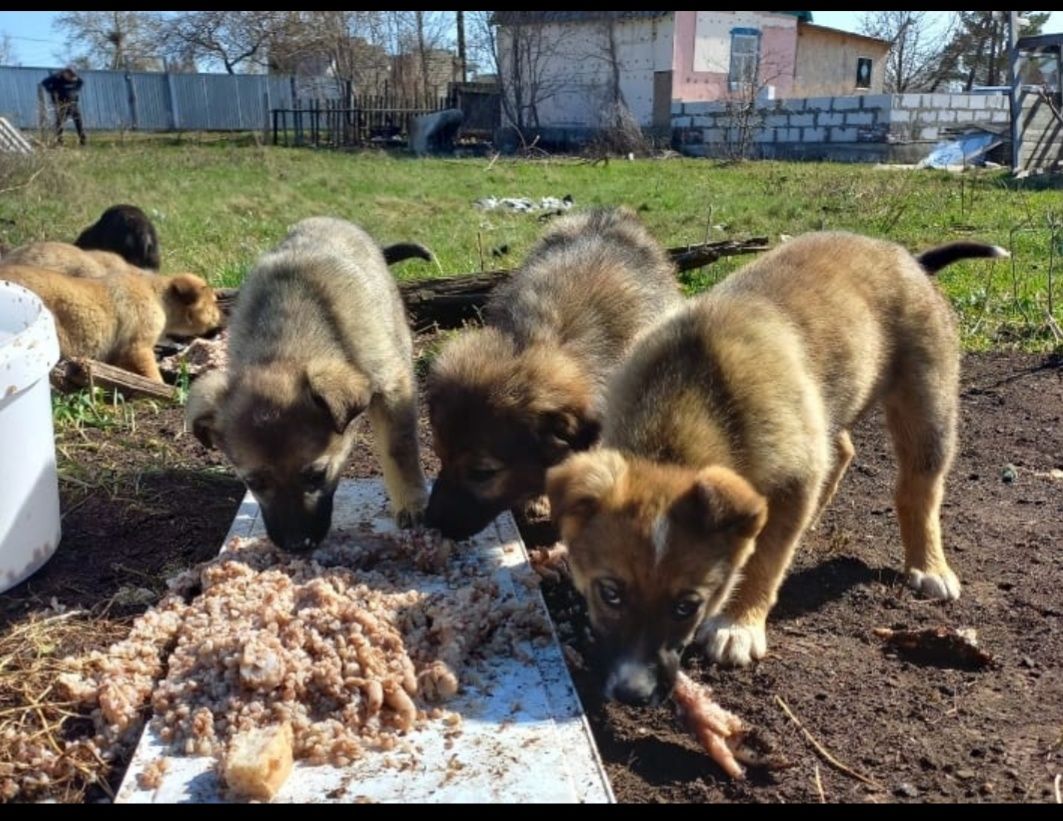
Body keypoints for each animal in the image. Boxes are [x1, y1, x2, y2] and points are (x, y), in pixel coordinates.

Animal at [184, 216, 425, 553]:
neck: (284, 345)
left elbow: (399, 448)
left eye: (316, 475)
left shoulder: (392, 386)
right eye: (254, 483)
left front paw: (411, 502)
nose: (296, 545)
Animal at [544, 230, 1007, 706]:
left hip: (927, 402)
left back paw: (929, 566)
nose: (634, 693)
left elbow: (764, 559)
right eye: (610, 593)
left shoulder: (791, 483)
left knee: (919, 488)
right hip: (827, 413)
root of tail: (911, 260)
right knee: (842, 449)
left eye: (687, 606)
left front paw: (738, 625)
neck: (681, 420)